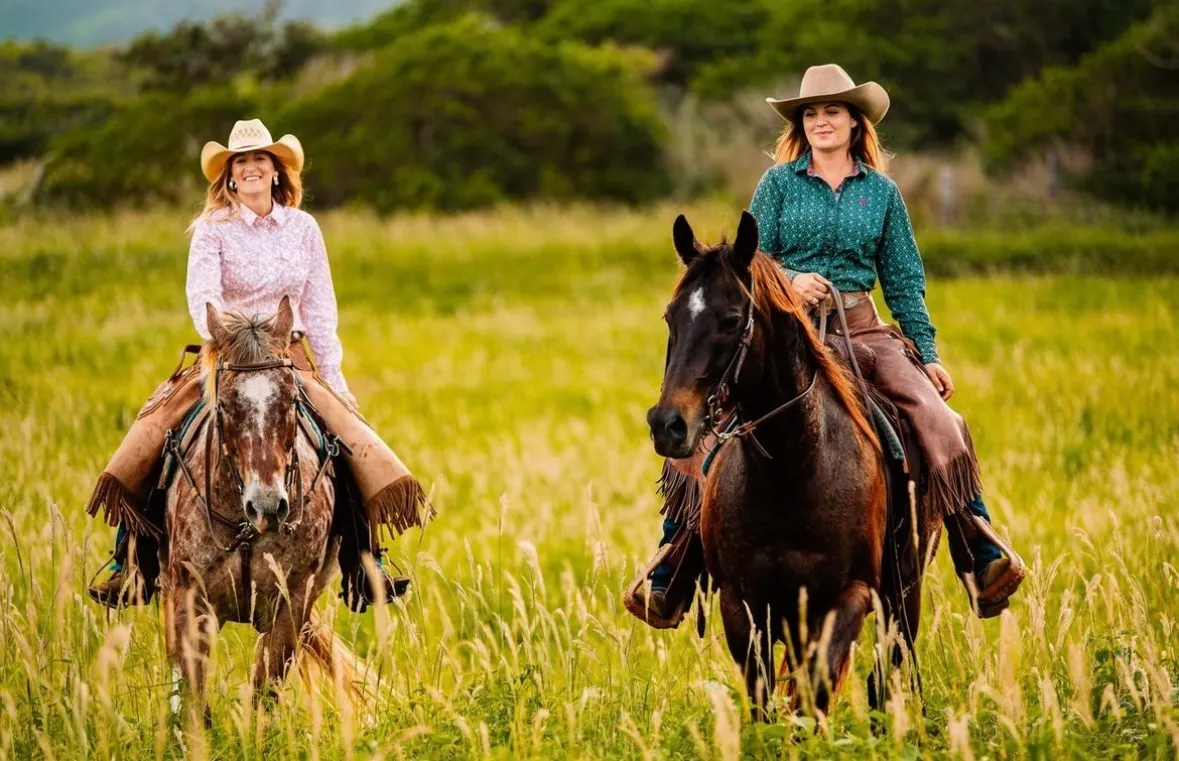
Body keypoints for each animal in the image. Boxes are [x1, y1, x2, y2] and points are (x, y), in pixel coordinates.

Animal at [160, 297, 358, 722]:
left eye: (291, 399)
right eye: (226, 404)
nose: (267, 506)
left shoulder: (291, 602)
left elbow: (264, 692)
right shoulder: (189, 600)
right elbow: (192, 693)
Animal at [646, 212, 891, 717]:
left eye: (732, 319)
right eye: (670, 316)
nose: (668, 425)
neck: (792, 470)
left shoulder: (849, 597)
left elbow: (813, 693)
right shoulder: (742, 604)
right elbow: (762, 696)